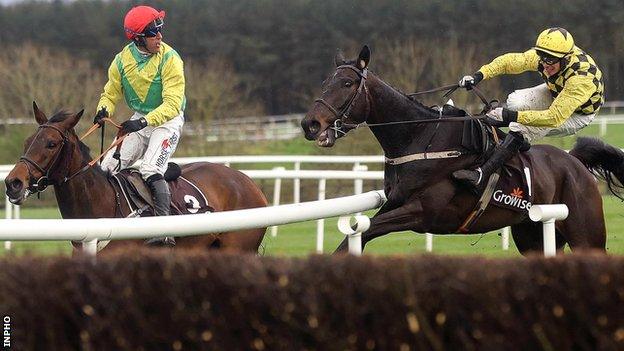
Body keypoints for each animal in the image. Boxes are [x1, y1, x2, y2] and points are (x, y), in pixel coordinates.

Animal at [4, 103, 268, 254]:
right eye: (28, 141)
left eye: (51, 143)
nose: (13, 183)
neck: (104, 206)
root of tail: (248, 182)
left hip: (239, 250)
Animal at [302, 46, 624, 256]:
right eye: (325, 82)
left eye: (347, 83)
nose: (310, 124)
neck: (419, 137)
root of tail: (574, 162)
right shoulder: (395, 203)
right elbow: (354, 237)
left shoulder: (422, 212)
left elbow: (365, 229)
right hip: (532, 233)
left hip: (585, 231)